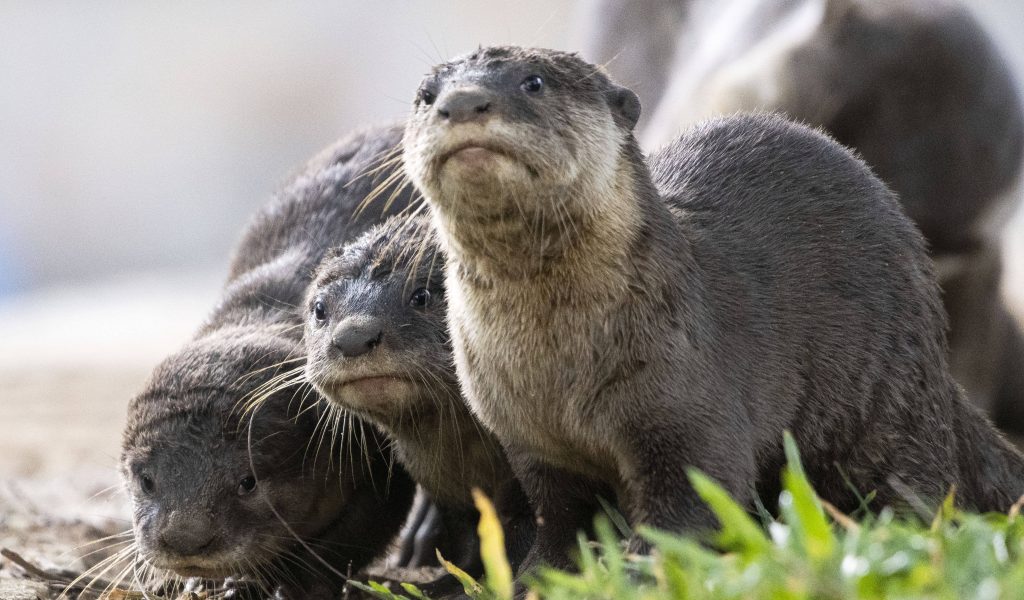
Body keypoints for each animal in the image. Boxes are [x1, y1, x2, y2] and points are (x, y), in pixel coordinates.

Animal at [120, 123, 419, 593]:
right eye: (147, 480)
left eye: (248, 482)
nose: (186, 540)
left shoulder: (375, 457)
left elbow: (351, 538)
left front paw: (273, 584)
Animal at [303, 213, 536, 589]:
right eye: (320, 308)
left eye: (421, 295)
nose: (353, 337)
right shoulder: (446, 491)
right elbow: (467, 536)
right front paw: (447, 583)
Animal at [401, 44, 1024, 573]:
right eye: (426, 94)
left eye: (534, 82)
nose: (462, 102)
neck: (559, 370)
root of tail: (938, 362)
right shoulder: (531, 442)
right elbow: (559, 518)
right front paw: (538, 574)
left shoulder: (686, 404)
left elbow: (696, 502)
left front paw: (643, 567)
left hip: (889, 402)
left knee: (916, 487)